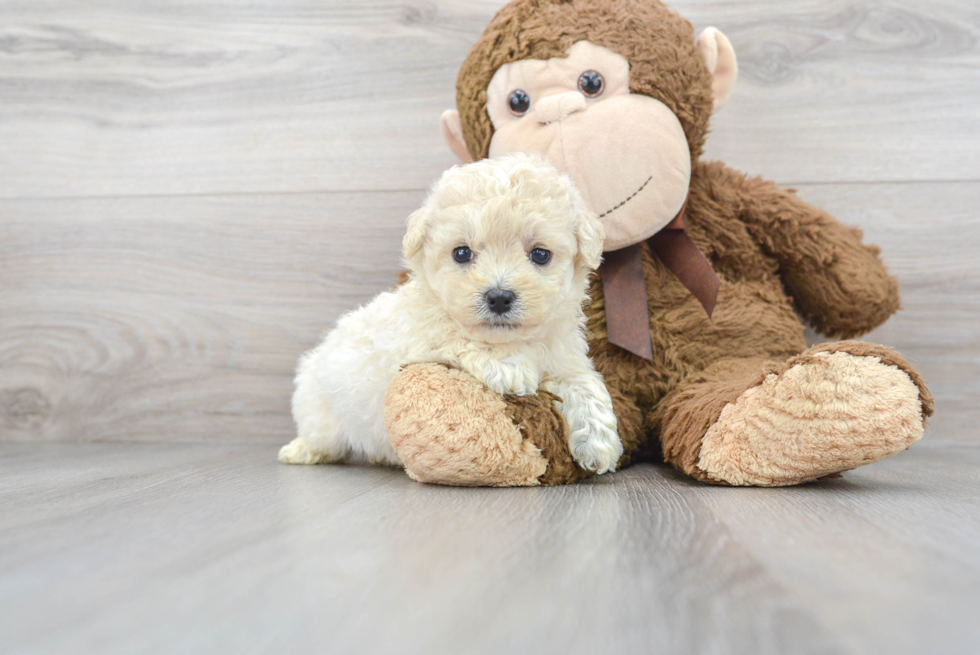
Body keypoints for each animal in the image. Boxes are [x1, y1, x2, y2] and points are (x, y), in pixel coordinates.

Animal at [280, 157, 624, 480]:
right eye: (461, 253)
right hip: (319, 409)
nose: (499, 297)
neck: (513, 339)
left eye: (540, 255)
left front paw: (599, 443)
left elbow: (585, 385)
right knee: (320, 437)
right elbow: (453, 334)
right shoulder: (416, 336)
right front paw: (509, 367)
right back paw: (300, 450)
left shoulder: (564, 358)